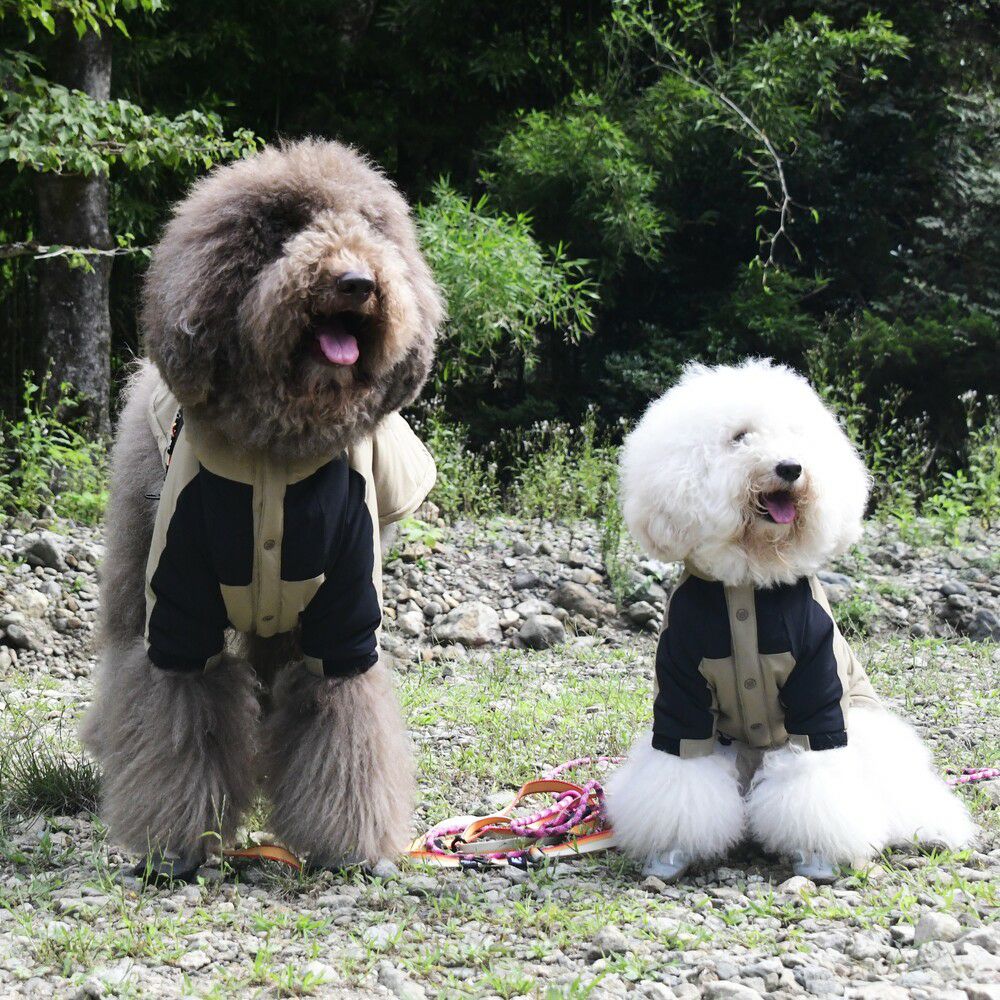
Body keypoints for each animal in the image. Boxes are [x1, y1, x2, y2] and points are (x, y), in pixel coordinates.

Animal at [81, 139, 444, 876]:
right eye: (283, 229)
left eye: (371, 226)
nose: (357, 281)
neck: (277, 451)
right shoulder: (178, 610)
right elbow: (176, 723)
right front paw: (175, 844)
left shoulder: (345, 616)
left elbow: (344, 727)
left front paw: (347, 843)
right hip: (134, 554)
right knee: (121, 650)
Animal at [606, 359, 976, 882]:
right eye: (740, 437)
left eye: (795, 436)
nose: (790, 468)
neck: (747, 582)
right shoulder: (682, 693)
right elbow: (681, 775)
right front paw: (672, 850)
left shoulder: (817, 691)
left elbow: (814, 777)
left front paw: (817, 852)